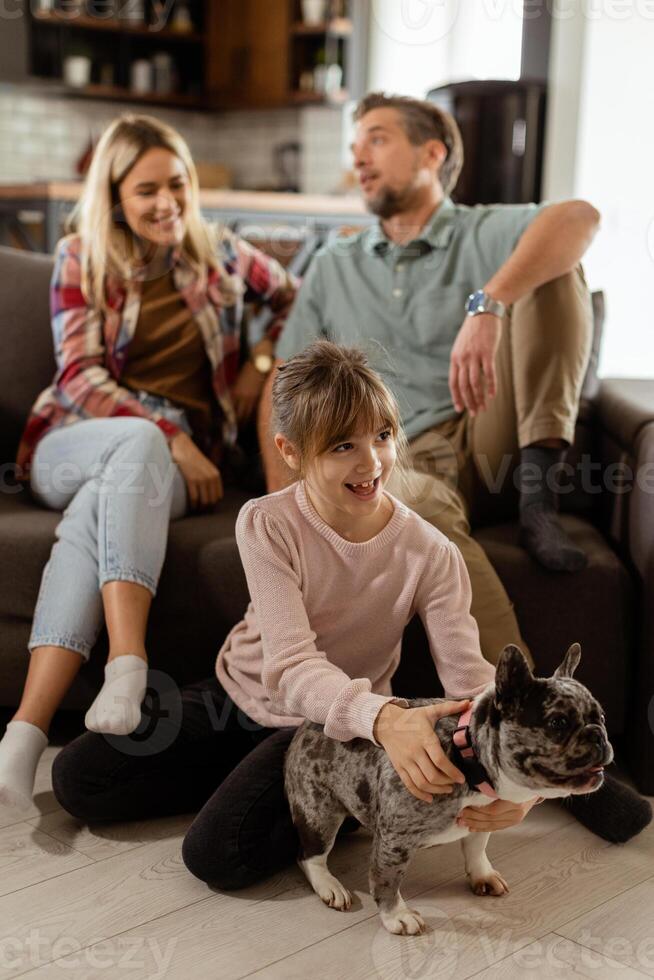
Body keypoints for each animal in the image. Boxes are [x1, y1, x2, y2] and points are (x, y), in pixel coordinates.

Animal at [286, 644, 616, 936]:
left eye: (601, 717)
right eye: (558, 722)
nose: (597, 735)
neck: (468, 755)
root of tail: (306, 727)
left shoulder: (482, 818)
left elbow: (476, 847)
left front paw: (482, 874)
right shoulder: (395, 839)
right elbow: (387, 878)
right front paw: (396, 915)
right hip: (320, 814)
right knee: (309, 856)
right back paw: (330, 886)